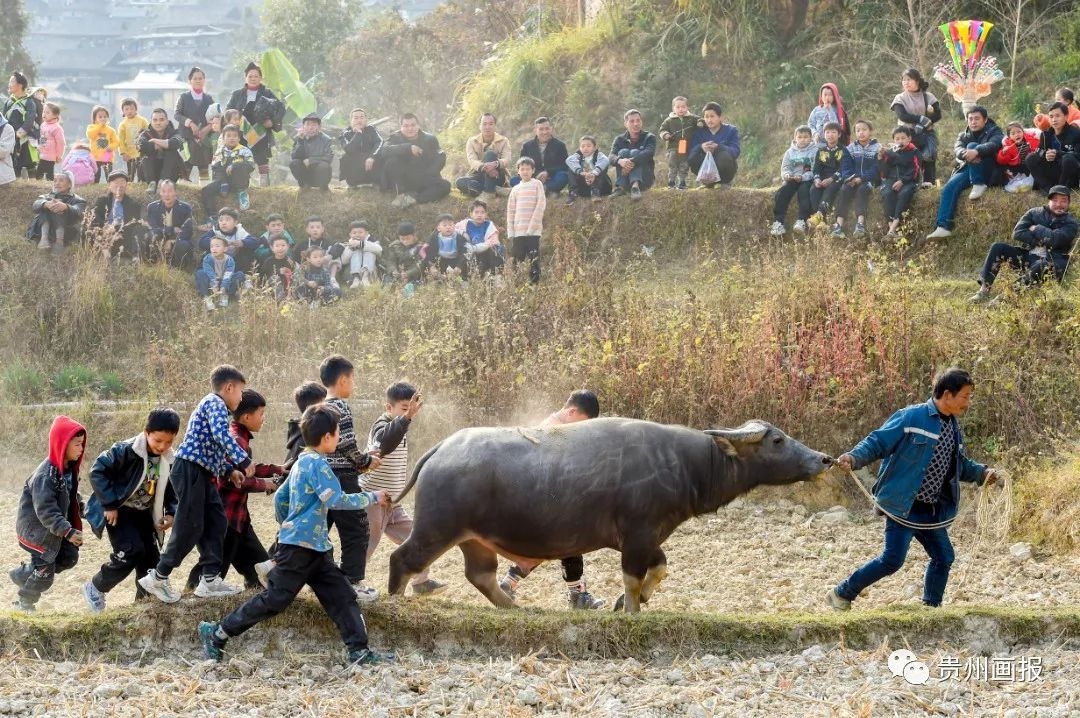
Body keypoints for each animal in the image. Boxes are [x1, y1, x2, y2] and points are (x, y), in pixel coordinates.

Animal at [390, 414, 833, 608]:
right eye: (777, 440)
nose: (824, 459)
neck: (683, 462)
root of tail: (441, 450)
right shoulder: (638, 534)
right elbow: (633, 579)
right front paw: (631, 609)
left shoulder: (647, 536)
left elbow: (660, 568)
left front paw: (632, 602)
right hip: (437, 527)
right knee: (403, 559)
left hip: (474, 539)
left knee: (481, 575)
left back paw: (515, 608)